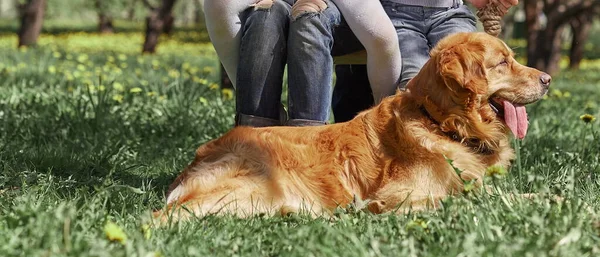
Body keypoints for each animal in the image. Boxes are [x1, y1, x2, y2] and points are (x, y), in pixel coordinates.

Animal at [156, 32, 552, 220]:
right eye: (503, 62)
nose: (547, 79)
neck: (441, 123)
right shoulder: (395, 198)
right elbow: (463, 200)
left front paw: (551, 199)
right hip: (257, 187)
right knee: (165, 216)